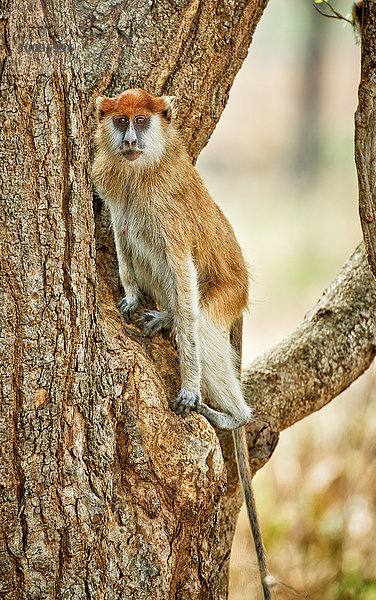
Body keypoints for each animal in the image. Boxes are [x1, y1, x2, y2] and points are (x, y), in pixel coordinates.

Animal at [92, 89, 272, 600]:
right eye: (120, 121)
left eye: (141, 121)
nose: (130, 139)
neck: (143, 167)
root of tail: (242, 290)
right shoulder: (113, 183)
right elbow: (121, 229)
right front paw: (133, 298)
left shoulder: (166, 207)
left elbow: (182, 268)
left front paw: (191, 390)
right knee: (136, 237)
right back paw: (164, 316)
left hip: (225, 294)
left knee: (204, 326)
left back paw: (233, 415)